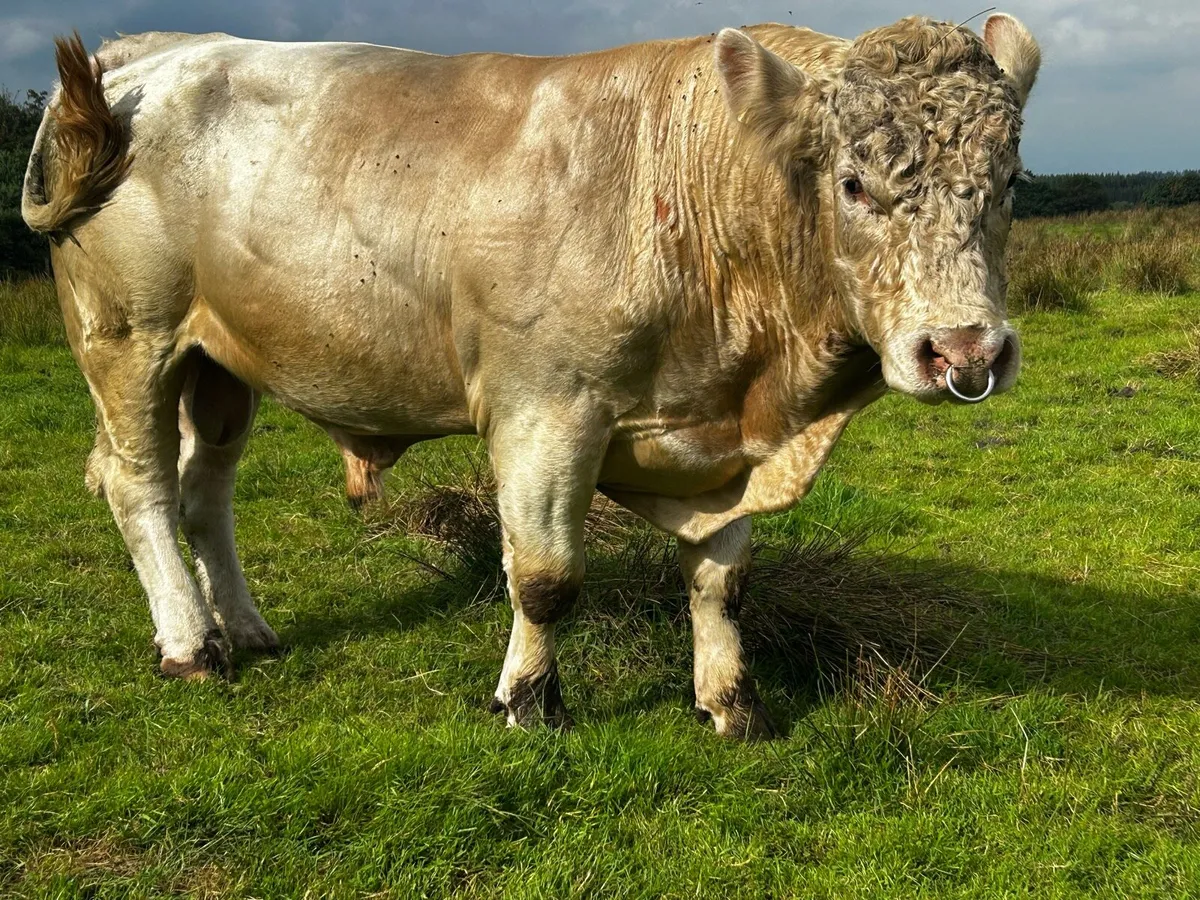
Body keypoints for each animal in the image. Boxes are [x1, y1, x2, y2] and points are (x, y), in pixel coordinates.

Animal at [23, 14, 1039, 738]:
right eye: (854, 184)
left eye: (1010, 183)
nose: (965, 351)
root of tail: (155, 54)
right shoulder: (545, 410)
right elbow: (546, 577)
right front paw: (528, 700)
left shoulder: (725, 443)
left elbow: (721, 582)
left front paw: (731, 703)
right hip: (128, 337)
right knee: (141, 484)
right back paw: (191, 643)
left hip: (218, 360)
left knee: (206, 492)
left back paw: (244, 627)